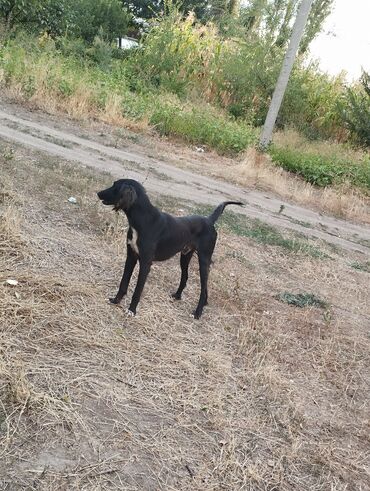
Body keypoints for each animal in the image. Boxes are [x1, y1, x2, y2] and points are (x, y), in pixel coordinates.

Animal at [97, 180, 244, 320]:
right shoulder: (131, 256)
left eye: (115, 186)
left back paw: (198, 312)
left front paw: (132, 310)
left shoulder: (145, 263)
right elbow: (123, 283)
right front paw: (116, 301)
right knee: (186, 278)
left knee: (203, 288)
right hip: (185, 256)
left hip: (204, 260)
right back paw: (179, 296)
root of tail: (209, 220)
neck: (143, 220)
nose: (98, 193)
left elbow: (138, 290)